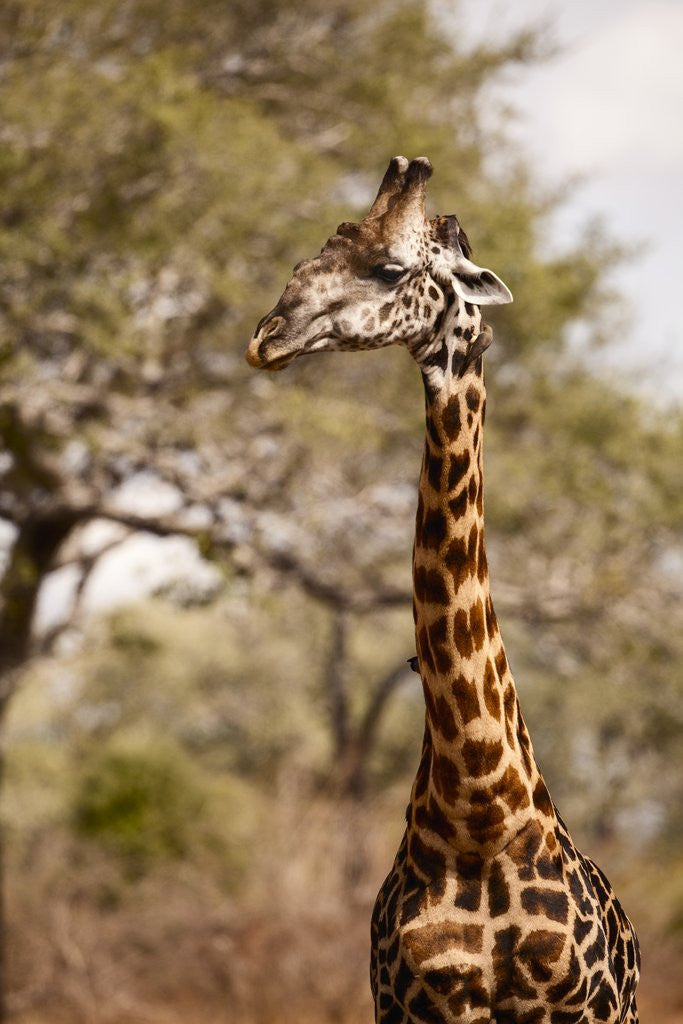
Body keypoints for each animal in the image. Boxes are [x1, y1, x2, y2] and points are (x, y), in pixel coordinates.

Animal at [246, 156, 640, 1024]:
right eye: (313, 251)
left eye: (390, 268)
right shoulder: (415, 1002)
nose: (266, 338)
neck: (477, 810)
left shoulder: (569, 1006)